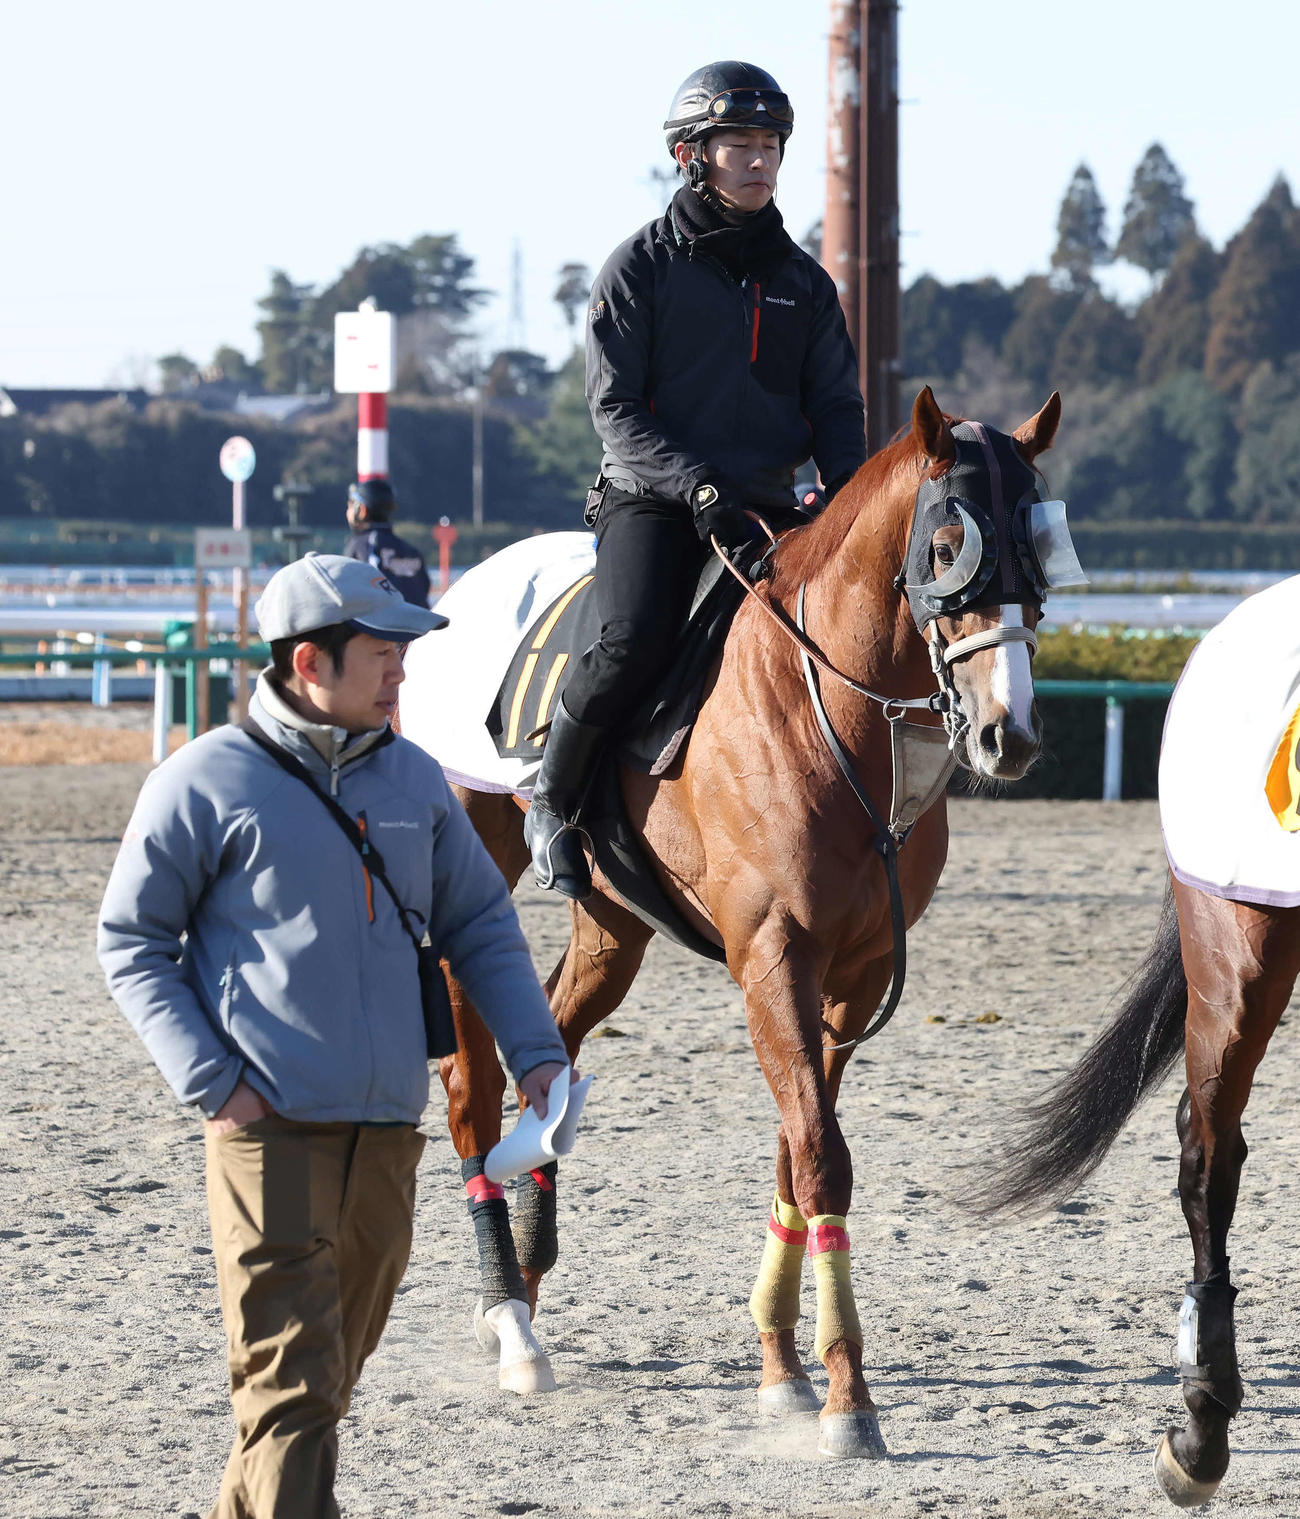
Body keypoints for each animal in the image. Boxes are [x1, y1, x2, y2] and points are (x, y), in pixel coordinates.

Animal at [407, 386, 1065, 1459]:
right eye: (946, 546)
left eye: (1037, 544)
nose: (1009, 734)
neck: (828, 711)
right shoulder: (771, 959)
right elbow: (822, 1157)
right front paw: (846, 1395)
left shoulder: (849, 980)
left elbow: (800, 1150)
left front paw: (783, 1365)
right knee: (470, 1084)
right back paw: (510, 1320)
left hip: (615, 924)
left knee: (554, 1039)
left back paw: (531, 1270)